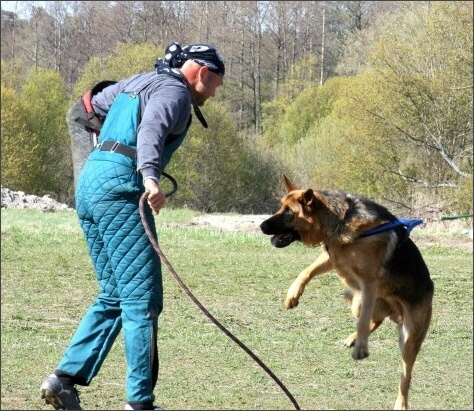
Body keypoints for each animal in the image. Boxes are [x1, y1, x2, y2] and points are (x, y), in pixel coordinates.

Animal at [262, 175, 436, 410]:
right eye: (281, 208)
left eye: (289, 212)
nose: (261, 226)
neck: (338, 222)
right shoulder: (333, 258)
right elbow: (306, 271)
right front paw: (293, 295)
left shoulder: (369, 282)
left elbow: (362, 322)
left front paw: (361, 348)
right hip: (361, 303)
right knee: (376, 319)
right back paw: (353, 337)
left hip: (408, 338)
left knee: (405, 374)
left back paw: (401, 402)